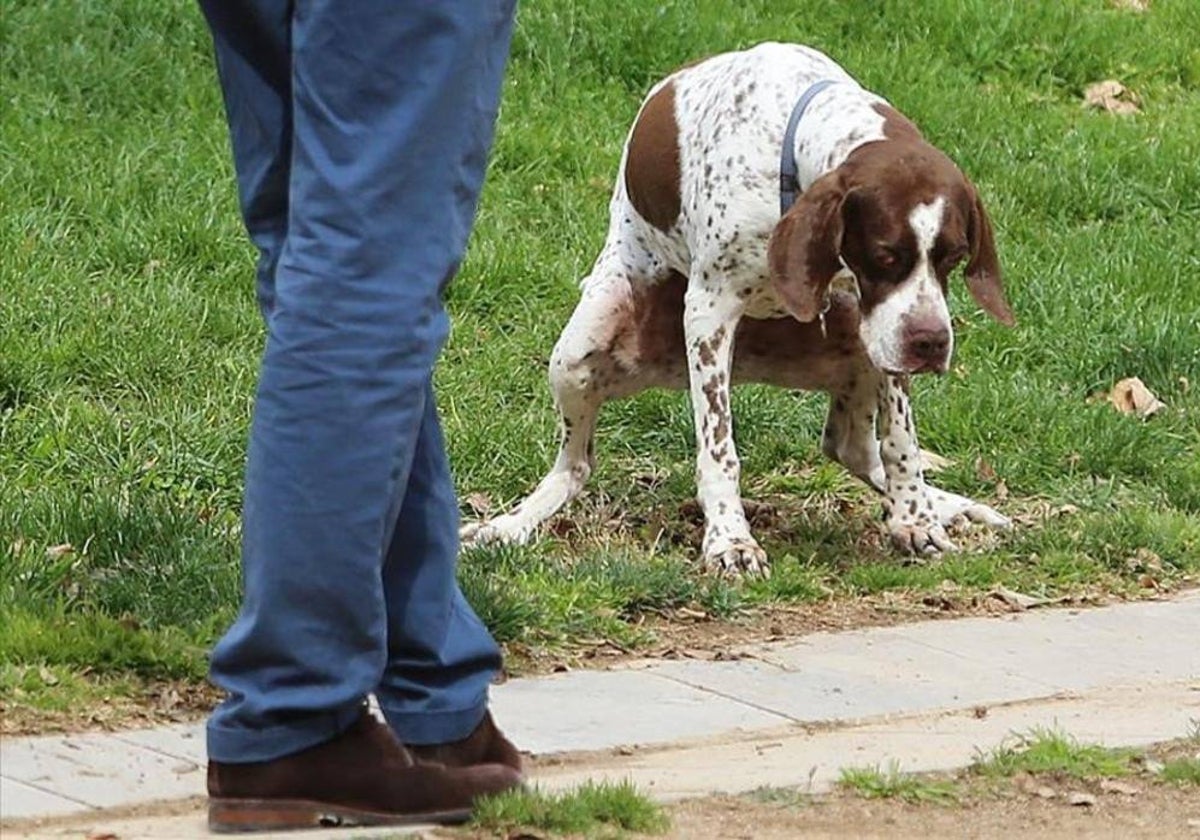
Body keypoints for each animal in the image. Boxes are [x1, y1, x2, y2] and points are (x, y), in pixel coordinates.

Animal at [463, 41, 1017, 578]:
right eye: (885, 256)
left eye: (953, 257)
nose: (931, 344)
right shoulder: (711, 310)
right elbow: (719, 451)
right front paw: (730, 541)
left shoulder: (884, 326)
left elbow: (900, 442)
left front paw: (916, 518)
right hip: (578, 352)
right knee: (574, 466)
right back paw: (510, 525)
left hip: (858, 337)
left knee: (852, 447)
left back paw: (945, 503)